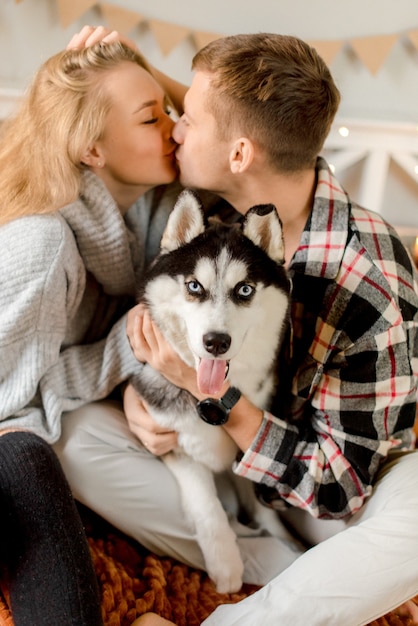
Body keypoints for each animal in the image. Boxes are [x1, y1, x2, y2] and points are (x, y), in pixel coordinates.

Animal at [132, 189, 292, 588]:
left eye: (245, 289)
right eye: (194, 286)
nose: (216, 342)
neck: (211, 400)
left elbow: (258, 498)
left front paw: (283, 536)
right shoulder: (177, 444)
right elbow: (208, 506)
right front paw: (226, 564)